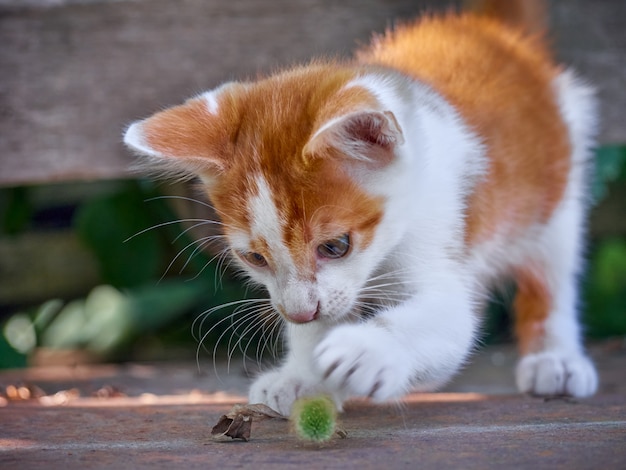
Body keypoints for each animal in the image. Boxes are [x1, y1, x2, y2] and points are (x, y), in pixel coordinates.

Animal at [122, 6, 596, 412]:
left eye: (336, 246)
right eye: (254, 257)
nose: (299, 311)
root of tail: (493, 34)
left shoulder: (439, 230)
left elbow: (450, 319)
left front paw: (367, 351)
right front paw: (301, 374)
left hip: (559, 188)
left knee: (553, 273)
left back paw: (555, 357)